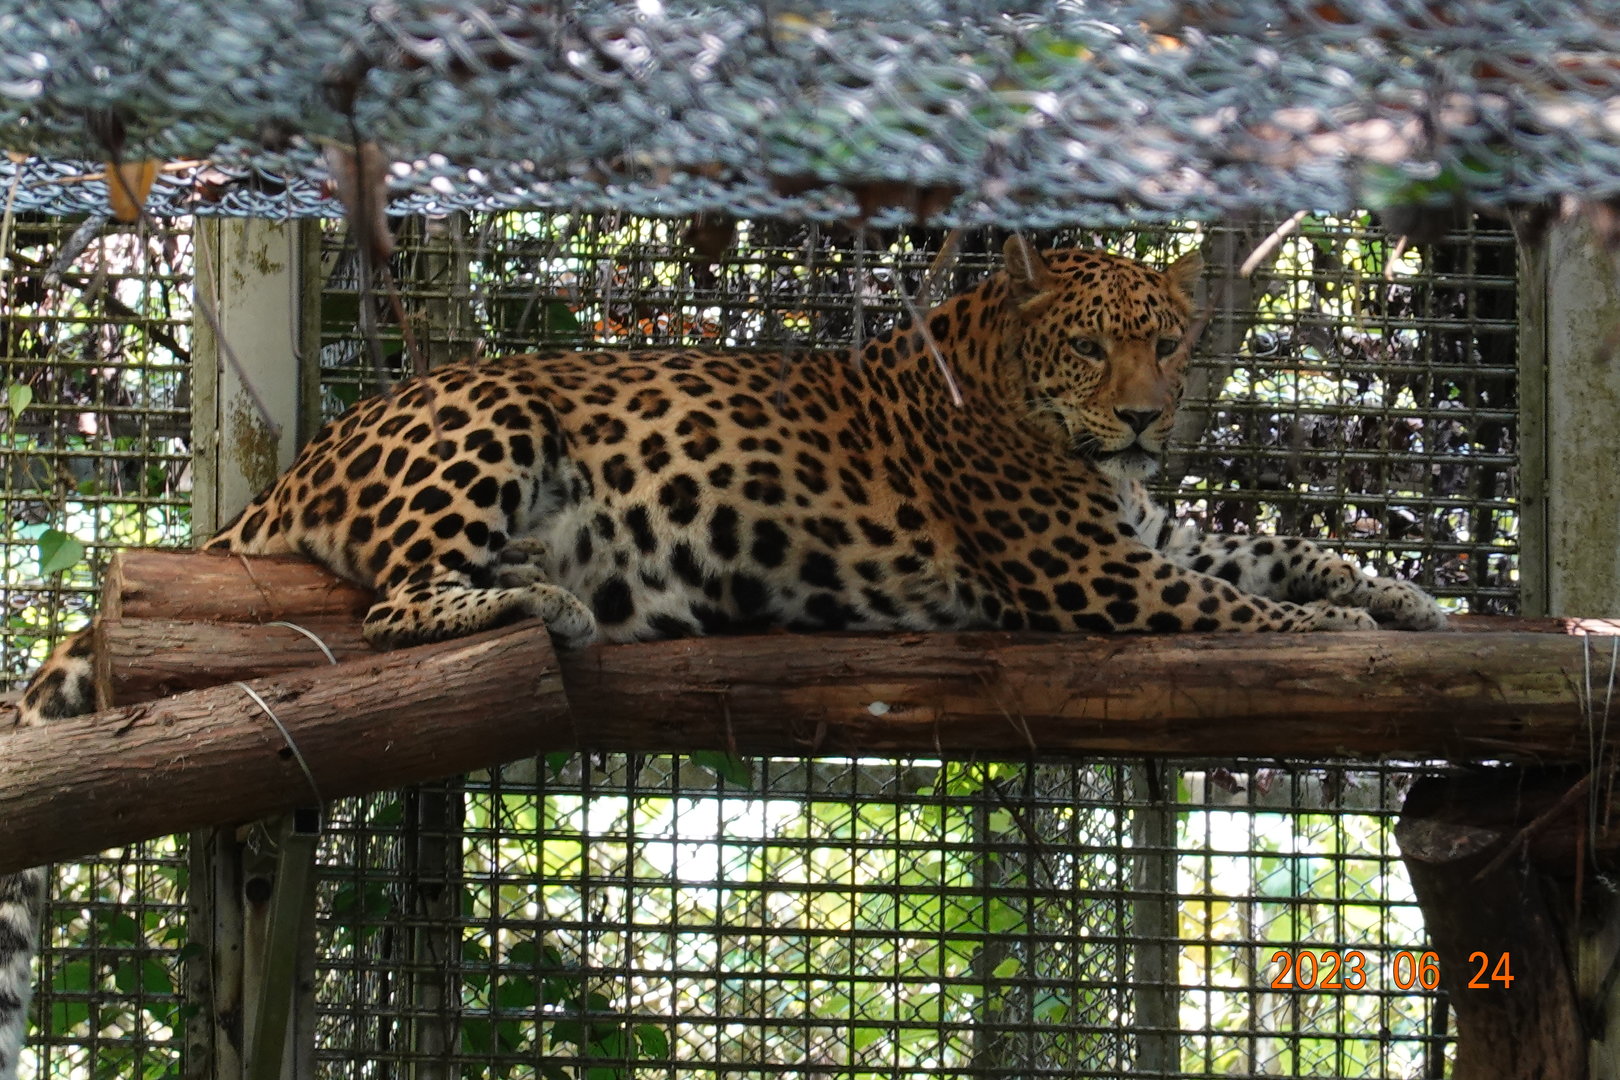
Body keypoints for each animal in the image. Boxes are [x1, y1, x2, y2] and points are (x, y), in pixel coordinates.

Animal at [0, 237, 1444, 1078]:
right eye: (1091, 344)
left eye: (1165, 338)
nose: (1146, 418)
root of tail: (308, 455)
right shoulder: (1089, 570)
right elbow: (1237, 605)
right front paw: (1334, 634)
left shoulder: (1141, 533)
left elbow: (1268, 547)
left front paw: (1401, 595)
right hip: (486, 413)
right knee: (395, 605)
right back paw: (536, 609)